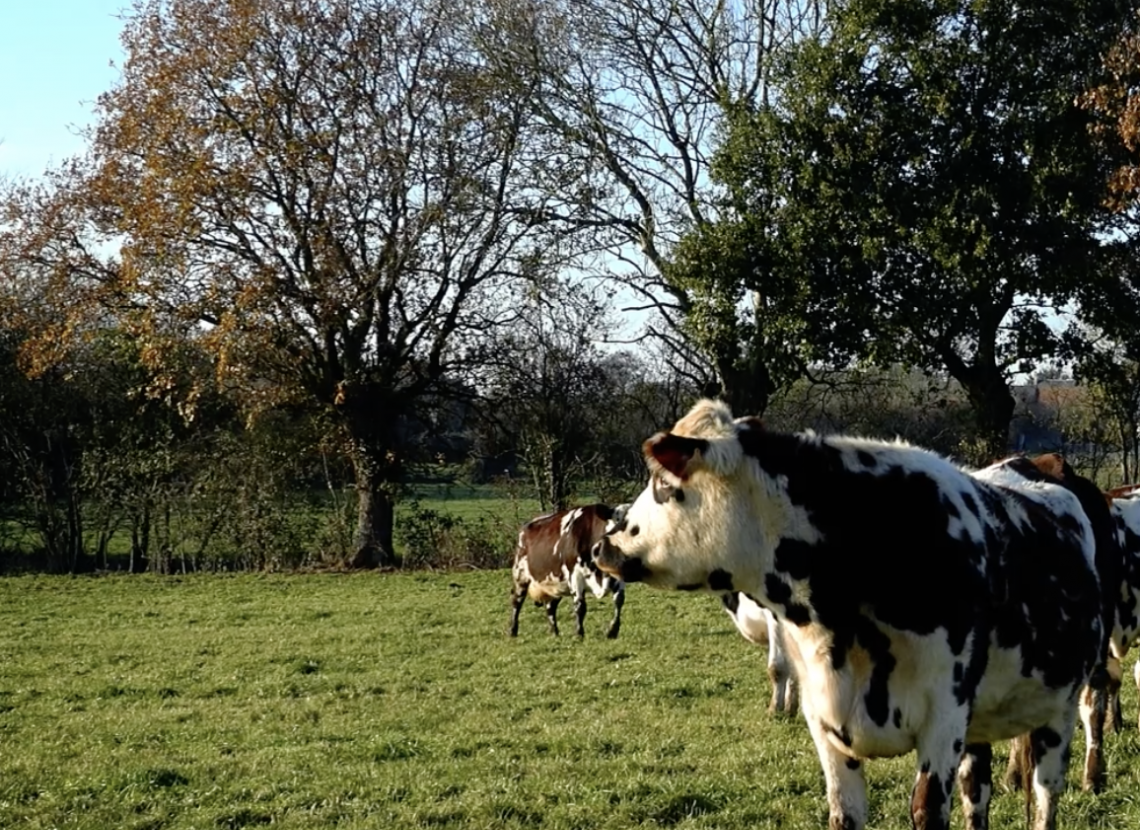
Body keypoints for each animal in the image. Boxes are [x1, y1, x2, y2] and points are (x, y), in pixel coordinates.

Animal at [508, 503, 627, 639]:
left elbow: (619, 600)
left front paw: (613, 630)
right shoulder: (575, 576)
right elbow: (580, 606)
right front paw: (579, 633)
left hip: (555, 583)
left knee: (550, 607)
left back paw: (554, 632)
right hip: (520, 575)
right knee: (516, 601)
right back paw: (513, 631)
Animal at [592, 399, 1104, 830]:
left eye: (663, 483)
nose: (603, 545)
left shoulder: (944, 716)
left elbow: (927, 810)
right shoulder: (824, 719)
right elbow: (845, 814)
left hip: (1059, 709)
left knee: (1045, 793)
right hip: (980, 727)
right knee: (977, 795)